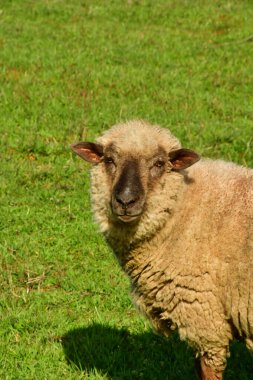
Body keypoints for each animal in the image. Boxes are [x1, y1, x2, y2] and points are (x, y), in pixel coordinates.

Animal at [70, 121, 253, 380]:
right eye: (109, 160)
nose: (126, 201)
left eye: (158, 163)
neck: (180, 209)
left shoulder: (202, 314)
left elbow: (207, 369)